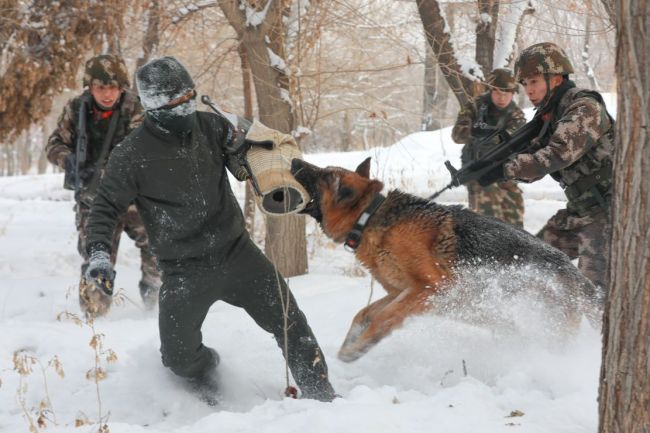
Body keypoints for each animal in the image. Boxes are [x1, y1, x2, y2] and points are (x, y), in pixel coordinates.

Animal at [288, 156, 596, 362]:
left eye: (325, 175)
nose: (293, 160)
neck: (370, 216)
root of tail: (576, 275)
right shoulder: (400, 292)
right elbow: (364, 313)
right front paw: (352, 341)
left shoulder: (430, 287)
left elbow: (384, 318)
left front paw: (358, 347)